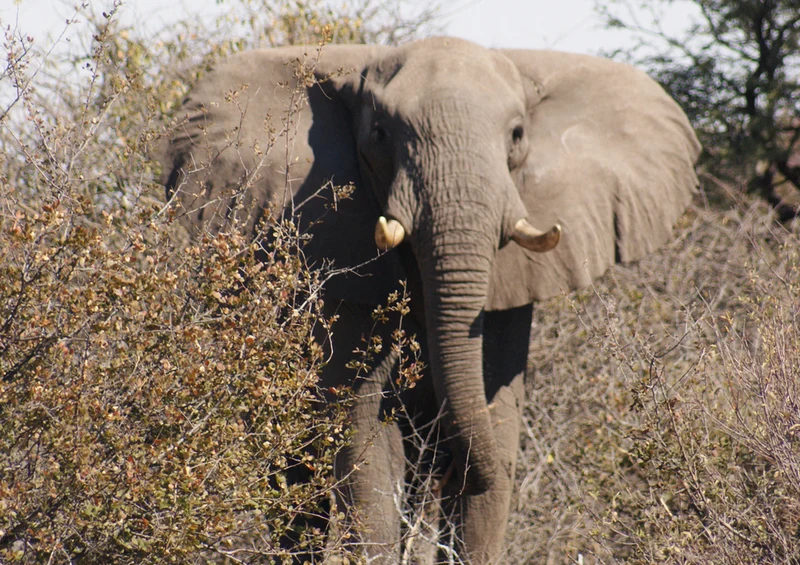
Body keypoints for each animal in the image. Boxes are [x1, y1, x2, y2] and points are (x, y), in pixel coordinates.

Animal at [160, 37, 700, 564]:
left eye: (518, 135)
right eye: (380, 134)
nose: (450, 464)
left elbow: (497, 426)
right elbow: (365, 436)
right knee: (294, 487)